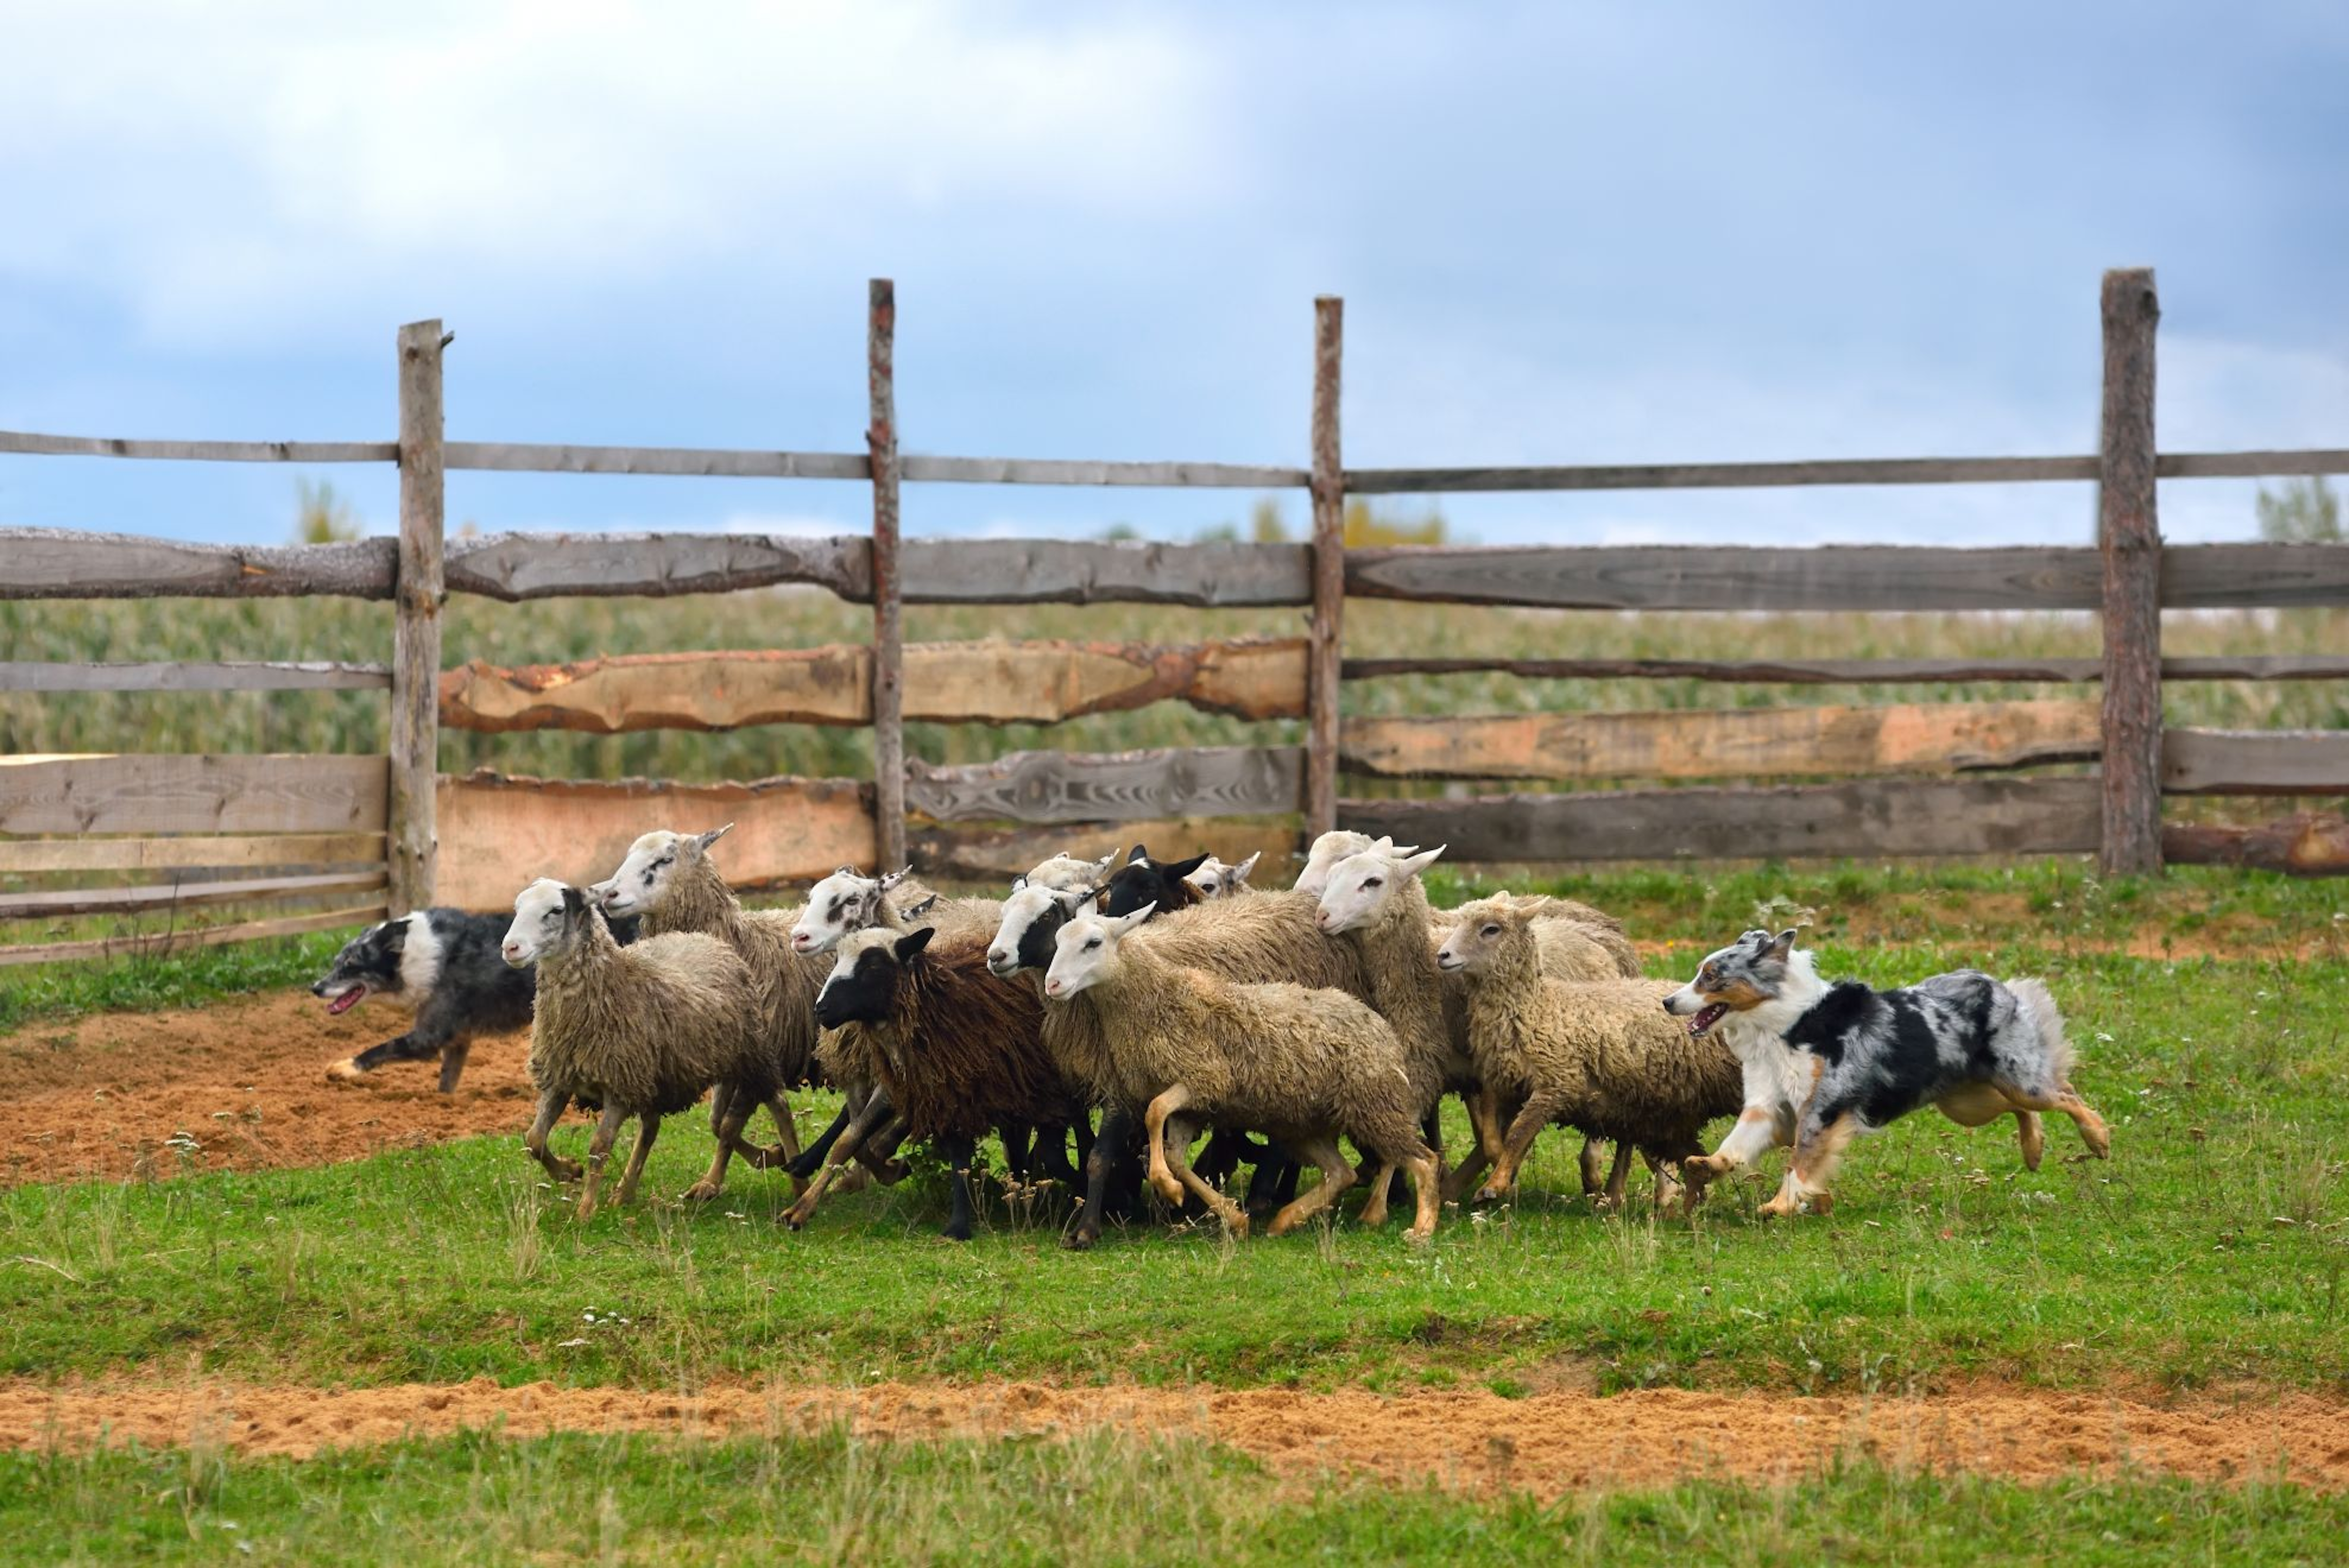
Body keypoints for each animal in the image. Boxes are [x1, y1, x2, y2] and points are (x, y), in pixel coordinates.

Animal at [317, 906, 643, 1089]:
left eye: (351, 966)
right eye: (336, 963)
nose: (316, 988)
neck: (417, 953)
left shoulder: (429, 1037)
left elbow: (380, 1048)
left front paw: (346, 1068)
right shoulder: (457, 1040)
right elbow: (447, 1082)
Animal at [1653, 925, 2114, 1220]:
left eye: (1710, 977)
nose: (1666, 1002)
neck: (1784, 1024)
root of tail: (1994, 983)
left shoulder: (1821, 1108)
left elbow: (1800, 1162)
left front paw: (1781, 1204)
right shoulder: (1766, 1106)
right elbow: (1736, 1145)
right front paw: (1708, 1165)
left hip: (2019, 1081)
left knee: (2065, 1094)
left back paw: (2097, 1138)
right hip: (1967, 1101)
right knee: (2021, 1108)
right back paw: (2033, 1149)